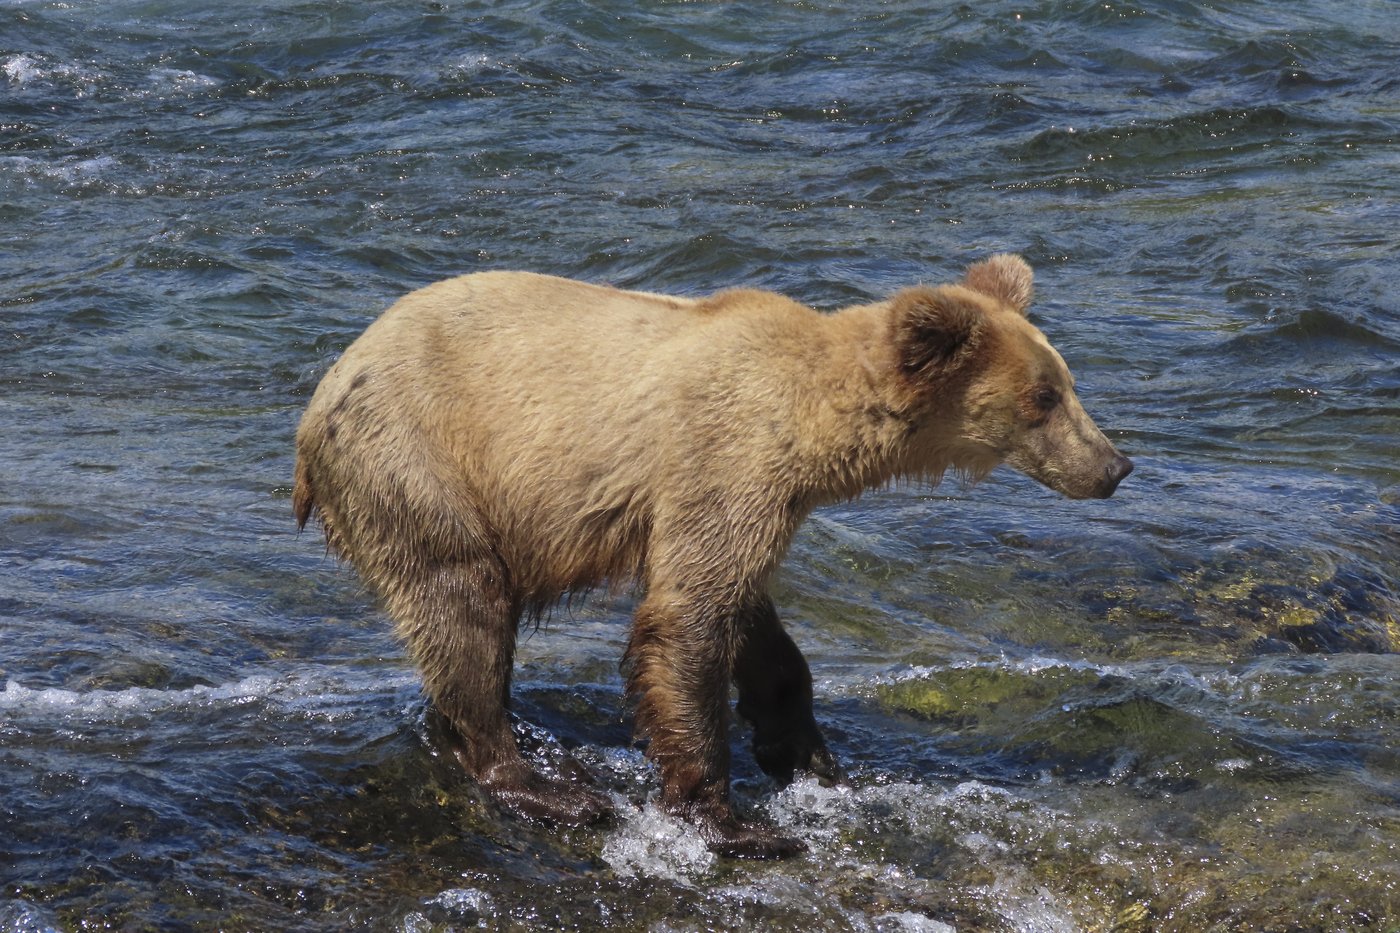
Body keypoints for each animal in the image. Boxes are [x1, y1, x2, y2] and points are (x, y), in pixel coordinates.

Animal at [292, 253, 1131, 859]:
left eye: (1067, 383)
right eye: (1044, 398)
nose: (1115, 465)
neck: (813, 426)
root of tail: (315, 402)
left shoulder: (759, 502)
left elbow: (753, 625)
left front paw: (805, 753)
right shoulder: (721, 460)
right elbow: (689, 619)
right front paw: (738, 821)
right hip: (419, 463)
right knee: (462, 606)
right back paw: (543, 784)